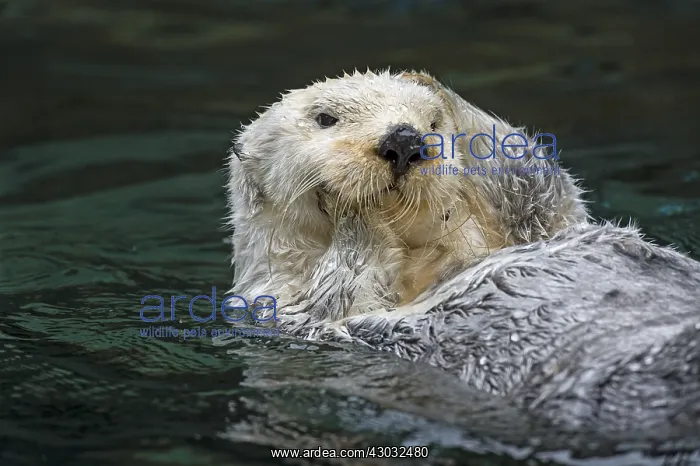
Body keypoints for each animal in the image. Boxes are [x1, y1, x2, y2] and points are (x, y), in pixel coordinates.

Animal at [226, 70, 700, 435]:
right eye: (325, 117)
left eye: (433, 121)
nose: (404, 139)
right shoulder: (284, 305)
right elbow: (346, 286)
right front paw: (352, 209)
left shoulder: (546, 224)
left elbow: (539, 187)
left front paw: (425, 84)